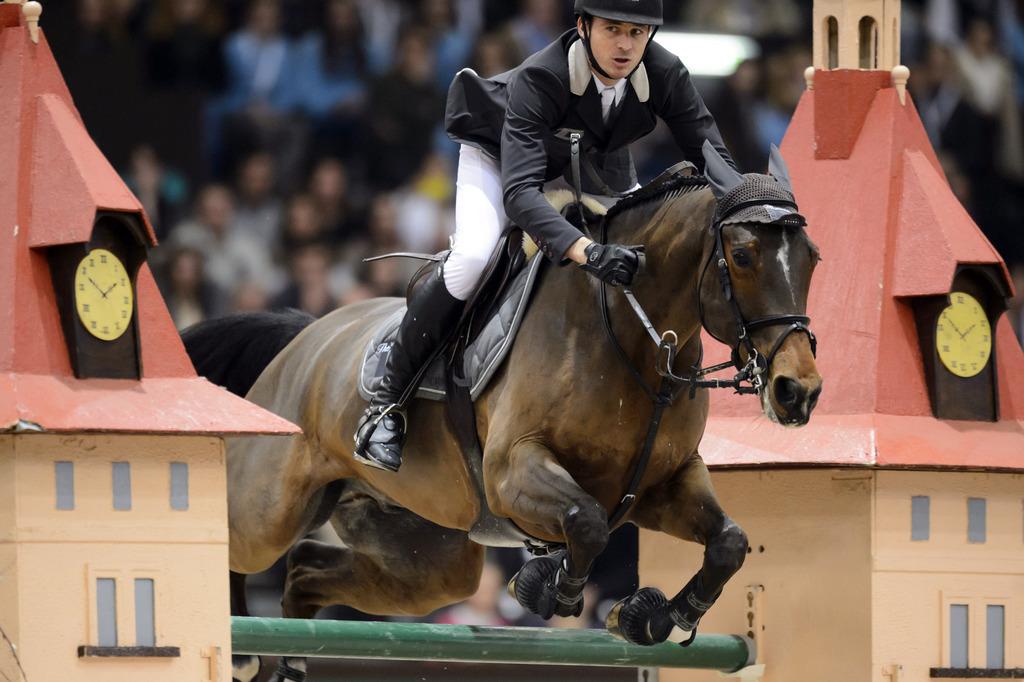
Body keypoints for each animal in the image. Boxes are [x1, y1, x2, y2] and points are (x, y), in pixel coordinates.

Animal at [186, 140, 823, 675]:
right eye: (742, 255)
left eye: (813, 258)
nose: (798, 391)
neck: (634, 342)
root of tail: (305, 335)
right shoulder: (513, 471)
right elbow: (586, 522)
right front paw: (545, 585)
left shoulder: (663, 484)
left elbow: (729, 542)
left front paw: (652, 616)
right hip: (269, 510)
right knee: (240, 542)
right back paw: (243, 645)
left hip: (427, 560)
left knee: (306, 568)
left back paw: (289, 659)